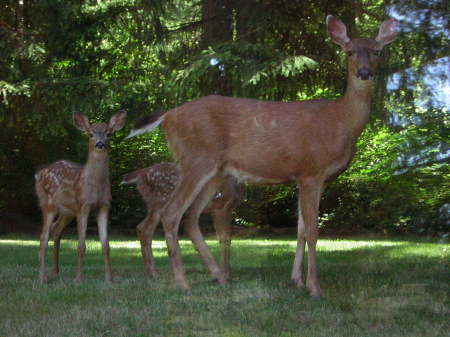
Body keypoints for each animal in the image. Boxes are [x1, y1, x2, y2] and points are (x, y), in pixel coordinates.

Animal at [34, 109, 126, 280]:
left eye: (108, 134)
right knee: (43, 237)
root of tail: (39, 174)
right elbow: (81, 245)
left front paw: (109, 279)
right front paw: (78, 279)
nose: (99, 144)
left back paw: (55, 272)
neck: (95, 187)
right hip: (47, 203)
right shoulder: (83, 205)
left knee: (56, 230)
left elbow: (106, 245)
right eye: (90, 134)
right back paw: (42, 277)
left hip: (67, 211)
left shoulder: (104, 206)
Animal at [126, 15, 398, 294]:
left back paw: (219, 276)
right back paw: (183, 283)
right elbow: (313, 231)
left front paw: (296, 280)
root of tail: (168, 116)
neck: (340, 123)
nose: (364, 73)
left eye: (377, 51)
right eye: (349, 51)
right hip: (196, 160)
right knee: (172, 214)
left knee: (190, 217)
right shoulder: (311, 171)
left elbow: (300, 231)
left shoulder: (312, 179)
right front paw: (314, 287)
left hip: (215, 171)